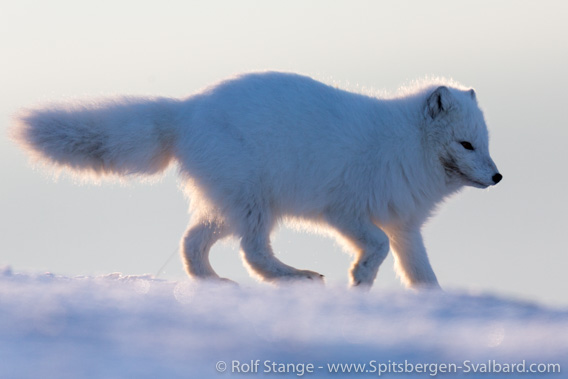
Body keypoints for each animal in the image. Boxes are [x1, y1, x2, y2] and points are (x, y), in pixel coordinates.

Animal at [13, 72, 502, 288]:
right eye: (466, 145)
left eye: (484, 143)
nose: (498, 176)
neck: (405, 145)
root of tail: (187, 110)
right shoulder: (344, 211)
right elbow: (377, 246)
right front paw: (360, 276)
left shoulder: (404, 225)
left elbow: (421, 272)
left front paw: (433, 303)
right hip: (254, 204)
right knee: (253, 253)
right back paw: (297, 277)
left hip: (226, 206)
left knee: (192, 243)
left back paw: (215, 284)